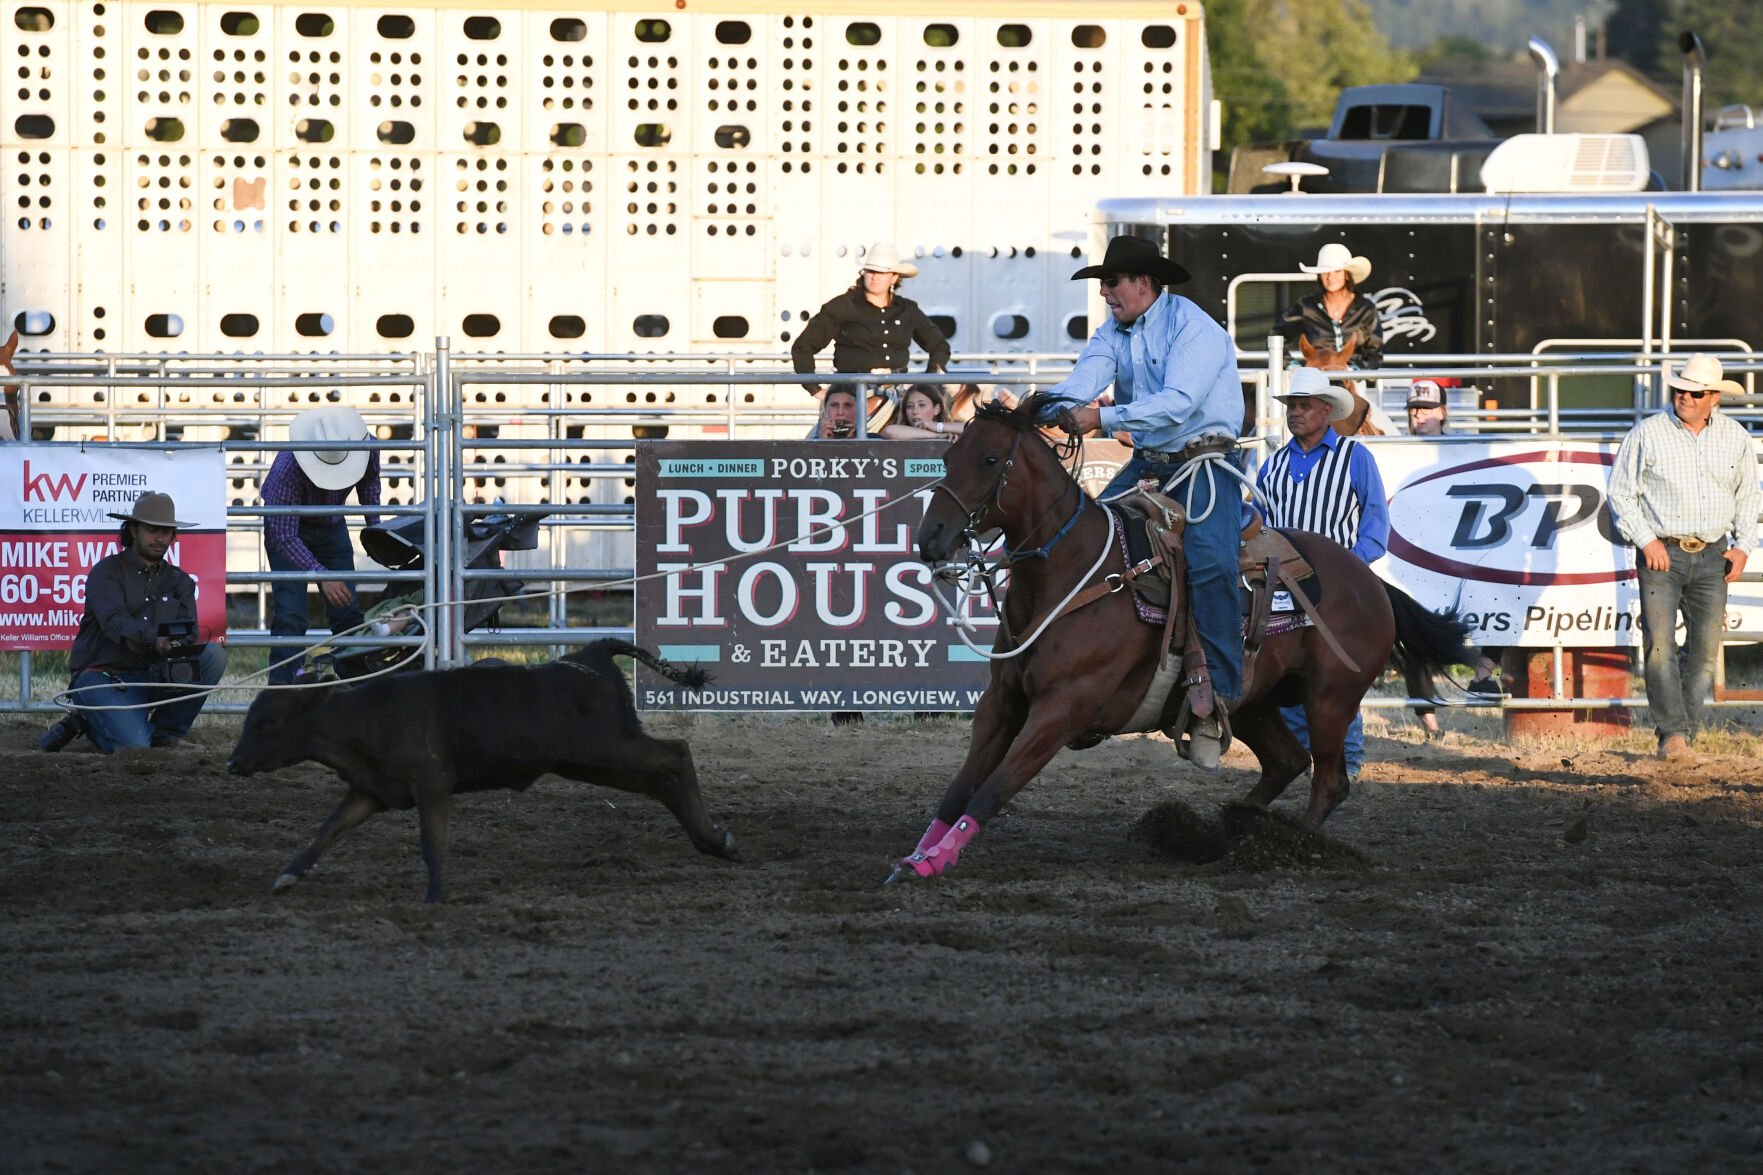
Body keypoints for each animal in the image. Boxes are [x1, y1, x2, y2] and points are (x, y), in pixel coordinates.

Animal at [895, 393, 1473, 878]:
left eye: (991, 460)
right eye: (948, 457)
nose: (931, 538)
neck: (1069, 573)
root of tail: (1371, 581)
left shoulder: (1061, 710)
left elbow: (990, 792)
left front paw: (932, 863)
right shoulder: (1003, 701)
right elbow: (958, 789)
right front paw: (916, 854)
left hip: (1330, 698)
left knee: (1329, 780)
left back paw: (1291, 847)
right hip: (1253, 701)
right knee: (1287, 761)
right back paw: (1224, 834)